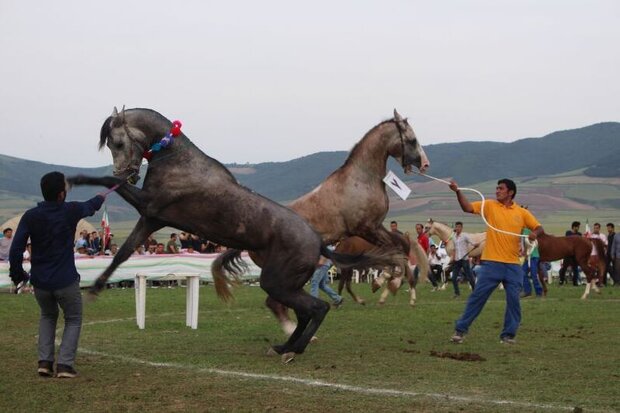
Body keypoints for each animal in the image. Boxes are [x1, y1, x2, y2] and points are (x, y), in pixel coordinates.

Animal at [66, 107, 398, 360]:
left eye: (117, 143)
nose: (129, 174)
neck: (175, 159)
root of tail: (317, 241)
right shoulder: (150, 219)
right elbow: (122, 254)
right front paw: (96, 287)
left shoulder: (149, 205)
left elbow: (107, 183)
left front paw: (74, 178)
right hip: (285, 282)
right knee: (305, 311)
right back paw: (284, 346)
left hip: (276, 281)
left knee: (317, 308)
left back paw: (293, 349)